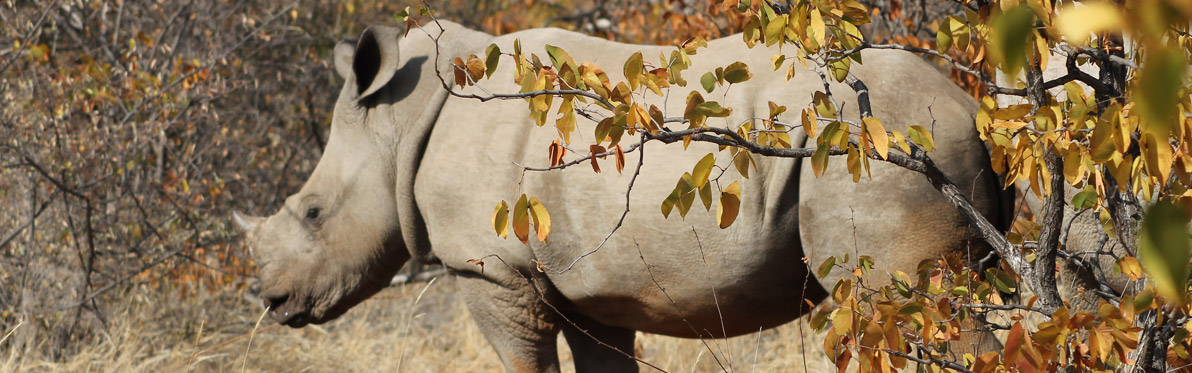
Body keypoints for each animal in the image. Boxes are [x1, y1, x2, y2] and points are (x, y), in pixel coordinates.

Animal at [237, 21, 1010, 369]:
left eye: (314, 213)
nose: (272, 300)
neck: (399, 125)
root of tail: (969, 107)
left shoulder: (490, 270)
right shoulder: (588, 287)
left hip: (876, 146)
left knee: (910, 306)